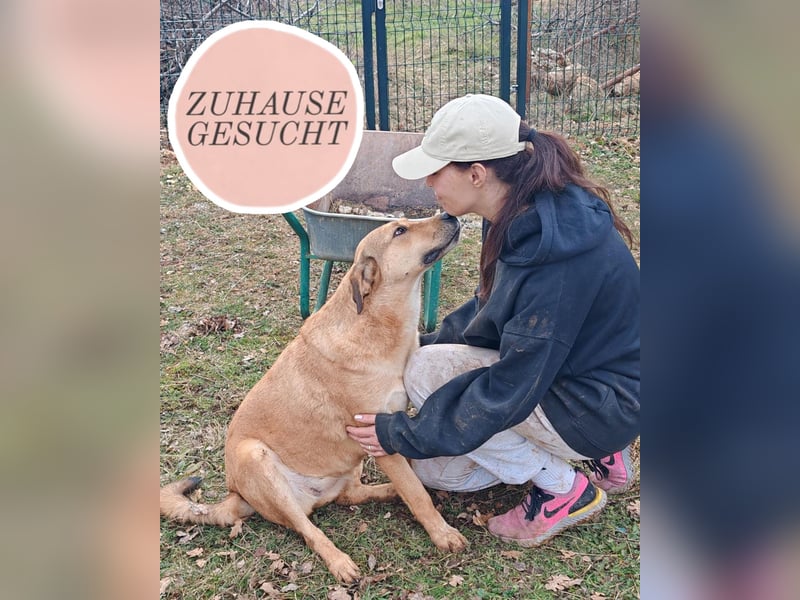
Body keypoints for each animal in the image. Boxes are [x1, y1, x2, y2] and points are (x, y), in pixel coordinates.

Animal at [160, 212, 466, 582]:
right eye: (400, 231)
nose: (449, 214)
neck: (377, 325)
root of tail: (234, 496)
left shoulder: (391, 428)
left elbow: (411, 481)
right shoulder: (379, 437)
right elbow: (417, 495)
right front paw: (442, 533)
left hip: (347, 464)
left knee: (349, 495)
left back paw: (388, 492)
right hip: (256, 458)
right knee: (309, 530)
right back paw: (340, 561)